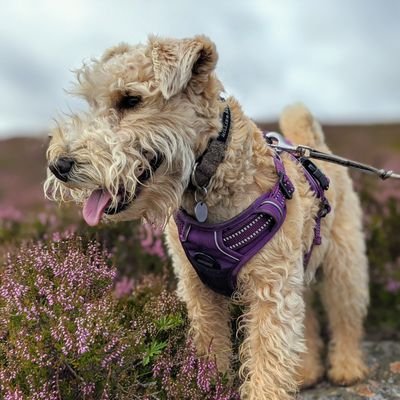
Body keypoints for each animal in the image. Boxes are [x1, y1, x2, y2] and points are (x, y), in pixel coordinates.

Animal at [46, 36, 368, 398]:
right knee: (309, 321)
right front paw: (207, 385)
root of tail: (310, 146)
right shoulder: (198, 288)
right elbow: (210, 347)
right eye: (92, 101)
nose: (58, 165)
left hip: (343, 264)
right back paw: (307, 372)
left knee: (345, 317)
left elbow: (267, 355)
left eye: (130, 100)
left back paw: (347, 368)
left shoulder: (271, 289)